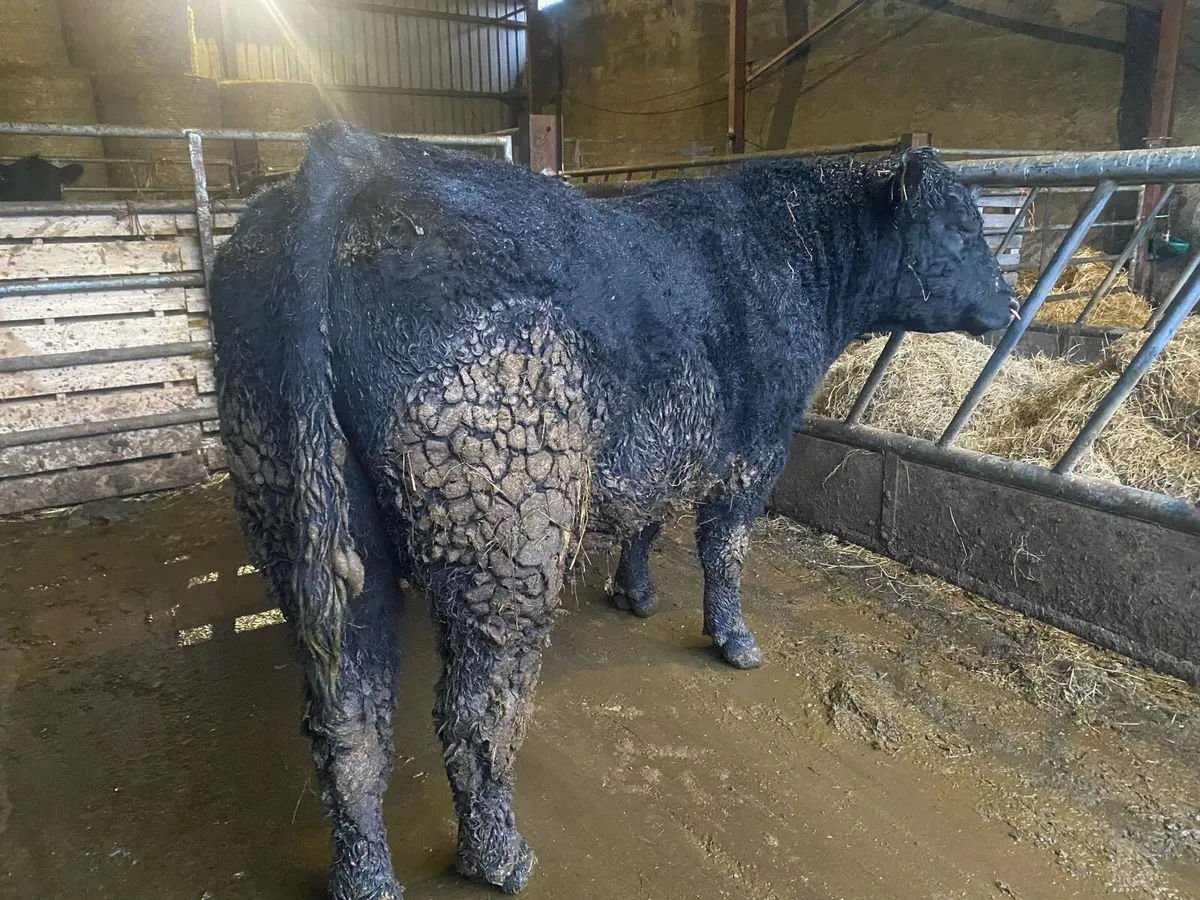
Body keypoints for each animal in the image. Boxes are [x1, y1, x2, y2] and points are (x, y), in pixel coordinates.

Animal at [208, 122, 1017, 899]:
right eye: (959, 226)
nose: (1010, 305)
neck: (793, 256)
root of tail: (348, 160)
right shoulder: (757, 444)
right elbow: (726, 547)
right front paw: (734, 639)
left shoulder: (658, 446)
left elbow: (646, 518)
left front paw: (635, 593)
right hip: (507, 536)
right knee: (478, 713)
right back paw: (499, 857)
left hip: (297, 506)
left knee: (347, 719)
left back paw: (366, 878)